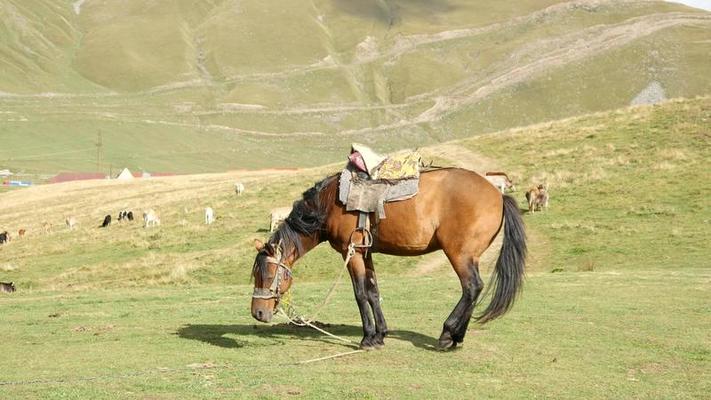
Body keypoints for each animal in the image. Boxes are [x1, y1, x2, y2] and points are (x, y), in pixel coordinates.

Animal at [252, 168, 528, 350]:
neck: (330, 204)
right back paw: (457, 337)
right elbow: (373, 292)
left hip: (459, 254)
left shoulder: (351, 253)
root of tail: (498, 194)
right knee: (474, 290)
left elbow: (360, 294)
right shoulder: (366, 253)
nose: (257, 313)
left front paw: (367, 338)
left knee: (471, 287)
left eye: (268, 275)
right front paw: (380, 335)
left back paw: (448, 333)